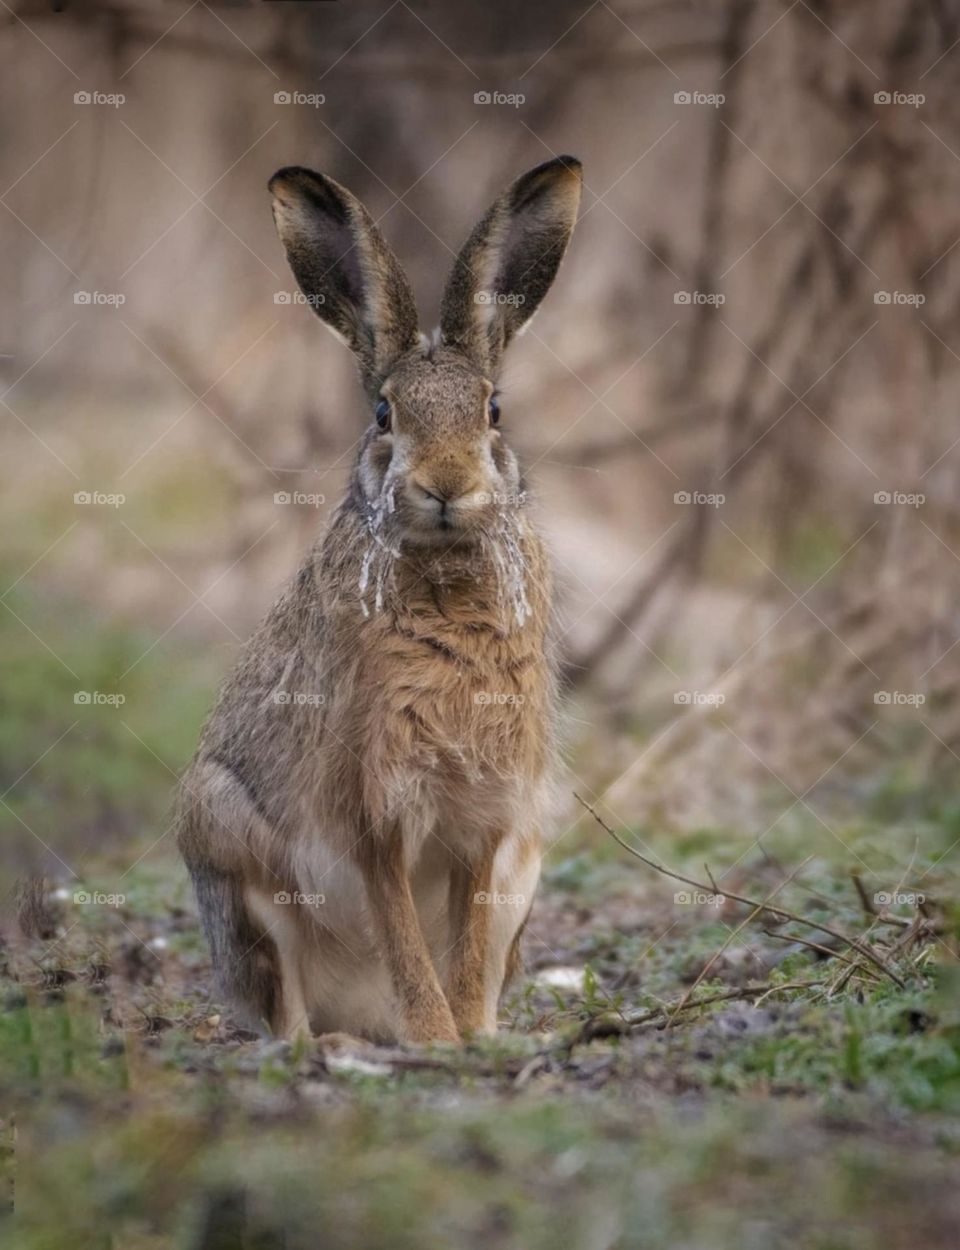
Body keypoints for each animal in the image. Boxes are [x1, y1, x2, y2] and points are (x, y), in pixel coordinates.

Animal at [177, 155, 582, 1044]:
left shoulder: (488, 816)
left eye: (493, 410)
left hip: (528, 869)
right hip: (224, 839)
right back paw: (328, 1041)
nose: (447, 485)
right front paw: (435, 1037)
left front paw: (466, 1036)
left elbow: (464, 932)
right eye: (384, 413)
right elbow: (397, 921)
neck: (445, 567)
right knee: (280, 1003)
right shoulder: (372, 806)